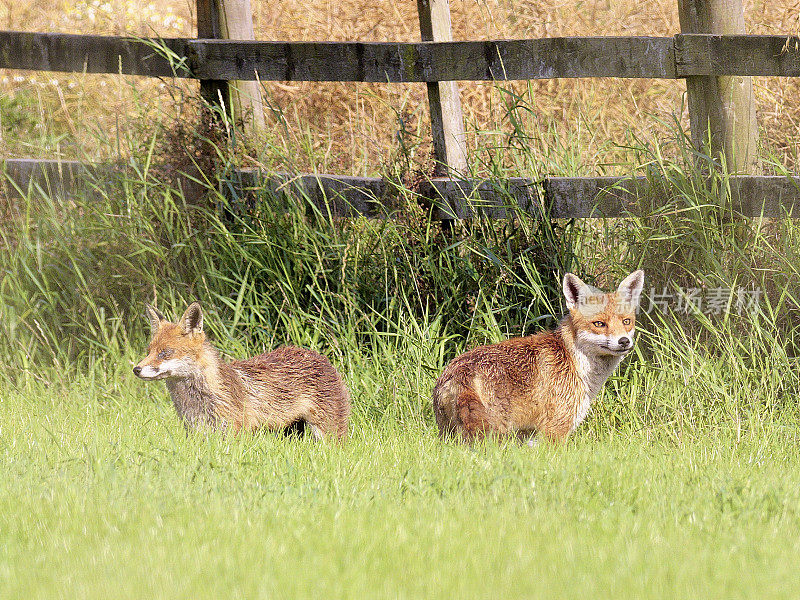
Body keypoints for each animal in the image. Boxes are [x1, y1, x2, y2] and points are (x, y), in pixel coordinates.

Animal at [133, 302, 348, 438]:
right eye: (149, 351)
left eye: (165, 353)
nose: (136, 369)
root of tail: (319, 356)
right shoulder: (197, 433)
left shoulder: (234, 432)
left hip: (327, 433)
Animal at [432, 270, 644, 442]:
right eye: (599, 324)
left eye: (626, 322)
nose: (624, 341)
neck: (573, 360)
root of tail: (459, 371)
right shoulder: (555, 428)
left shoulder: (528, 435)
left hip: (449, 435)